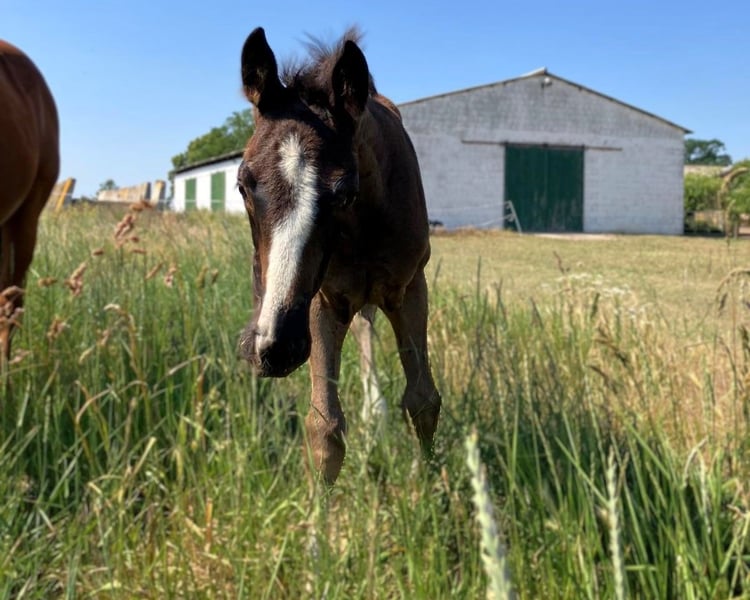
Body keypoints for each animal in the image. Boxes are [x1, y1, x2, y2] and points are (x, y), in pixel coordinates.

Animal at [237, 28, 441, 484]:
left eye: (344, 192)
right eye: (242, 185)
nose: (275, 348)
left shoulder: (410, 288)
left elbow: (422, 400)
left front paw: (435, 487)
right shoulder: (322, 302)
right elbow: (324, 426)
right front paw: (318, 507)